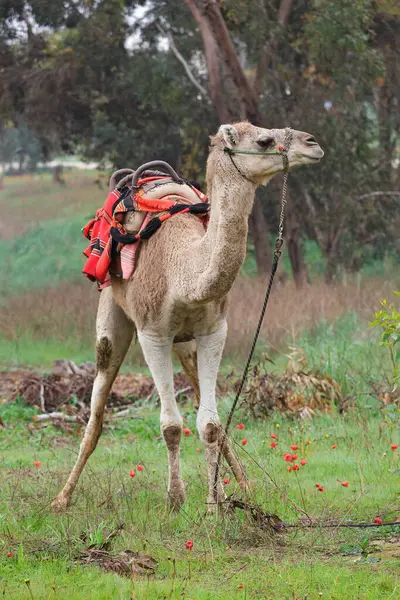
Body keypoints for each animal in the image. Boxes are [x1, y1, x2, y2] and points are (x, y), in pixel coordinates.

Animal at [51, 120, 324, 510]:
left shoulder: (213, 330)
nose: (313, 143)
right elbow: (170, 425)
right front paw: (175, 500)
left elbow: (210, 424)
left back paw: (240, 486)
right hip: (112, 314)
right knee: (97, 411)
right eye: (264, 140)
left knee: (201, 403)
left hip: (186, 344)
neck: (183, 271)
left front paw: (215, 504)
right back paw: (62, 498)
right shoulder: (153, 333)